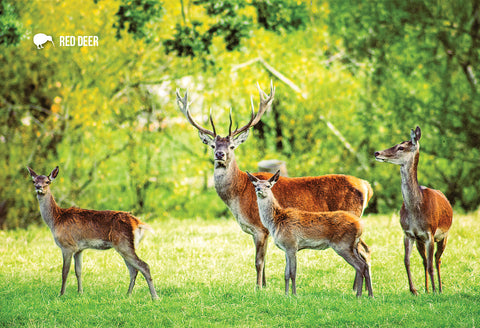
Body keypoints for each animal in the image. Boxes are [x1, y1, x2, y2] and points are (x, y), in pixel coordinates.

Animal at [27, 167, 158, 300]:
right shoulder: (79, 249)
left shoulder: (67, 246)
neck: (55, 220)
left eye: (47, 181)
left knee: (144, 266)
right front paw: (80, 292)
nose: (38, 187)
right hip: (126, 246)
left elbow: (65, 272)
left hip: (124, 244)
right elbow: (78, 271)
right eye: (33, 181)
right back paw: (128, 294)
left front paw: (61, 294)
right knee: (133, 270)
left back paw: (154, 296)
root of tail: (137, 222)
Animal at [246, 172, 374, 298]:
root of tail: (360, 225)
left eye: (268, 185)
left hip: (343, 244)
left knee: (360, 265)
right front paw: (286, 294)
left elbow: (293, 272)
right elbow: (286, 274)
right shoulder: (286, 248)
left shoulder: (291, 244)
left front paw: (294, 294)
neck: (276, 220)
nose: (258, 189)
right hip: (352, 245)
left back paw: (359, 295)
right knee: (364, 264)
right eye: (255, 185)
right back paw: (369, 295)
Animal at [376, 126, 454, 294]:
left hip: (444, 236)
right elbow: (406, 260)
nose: (376, 153)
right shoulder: (408, 233)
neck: (416, 209)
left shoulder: (430, 233)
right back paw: (426, 289)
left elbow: (431, 265)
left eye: (401, 147)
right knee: (425, 261)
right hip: (420, 241)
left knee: (437, 260)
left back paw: (439, 288)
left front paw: (434, 291)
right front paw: (414, 290)